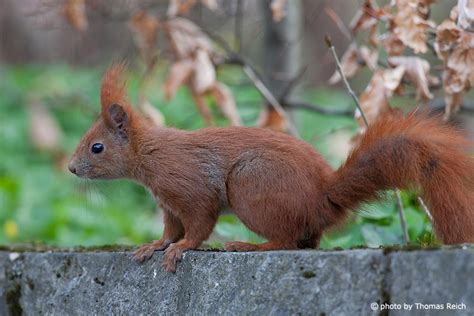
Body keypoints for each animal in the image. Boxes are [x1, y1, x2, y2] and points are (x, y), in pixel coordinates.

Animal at [68, 65, 474, 272]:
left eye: (96, 147)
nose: (71, 169)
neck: (148, 154)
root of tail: (324, 199)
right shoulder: (168, 204)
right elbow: (170, 228)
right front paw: (155, 245)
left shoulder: (188, 185)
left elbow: (198, 223)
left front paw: (179, 249)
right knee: (307, 241)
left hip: (251, 186)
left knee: (288, 240)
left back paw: (247, 245)